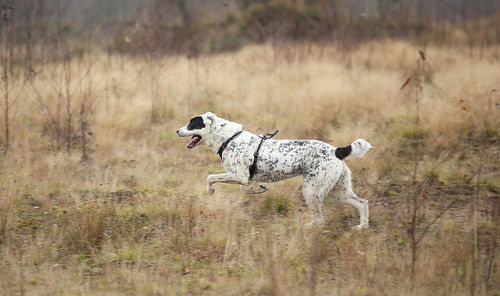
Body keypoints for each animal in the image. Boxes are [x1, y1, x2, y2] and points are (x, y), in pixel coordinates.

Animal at [178, 112, 374, 230]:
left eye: (192, 124)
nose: (177, 130)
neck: (229, 138)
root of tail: (337, 150)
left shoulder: (239, 176)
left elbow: (210, 177)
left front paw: (210, 190)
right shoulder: (246, 178)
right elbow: (246, 189)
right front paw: (260, 189)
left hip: (312, 190)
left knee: (320, 220)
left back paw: (308, 228)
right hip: (338, 192)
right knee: (362, 203)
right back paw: (362, 227)